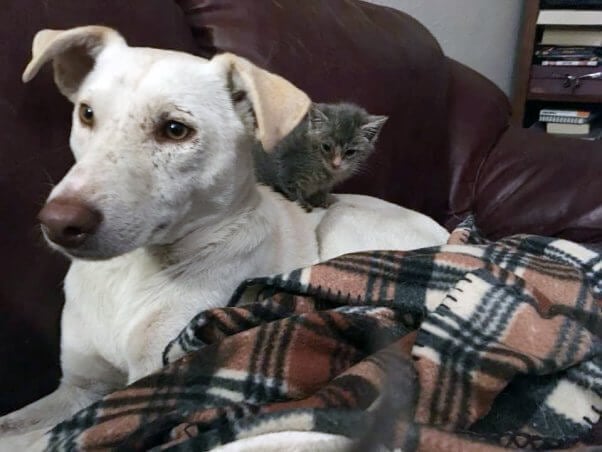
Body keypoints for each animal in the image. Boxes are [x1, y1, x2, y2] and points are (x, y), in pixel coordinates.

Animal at [252, 102, 384, 212]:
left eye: (350, 152)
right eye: (326, 147)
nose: (336, 164)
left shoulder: (326, 185)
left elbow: (322, 192)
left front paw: (323, 201)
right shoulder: (287, 166)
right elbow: (291, 188)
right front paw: (303, 203)